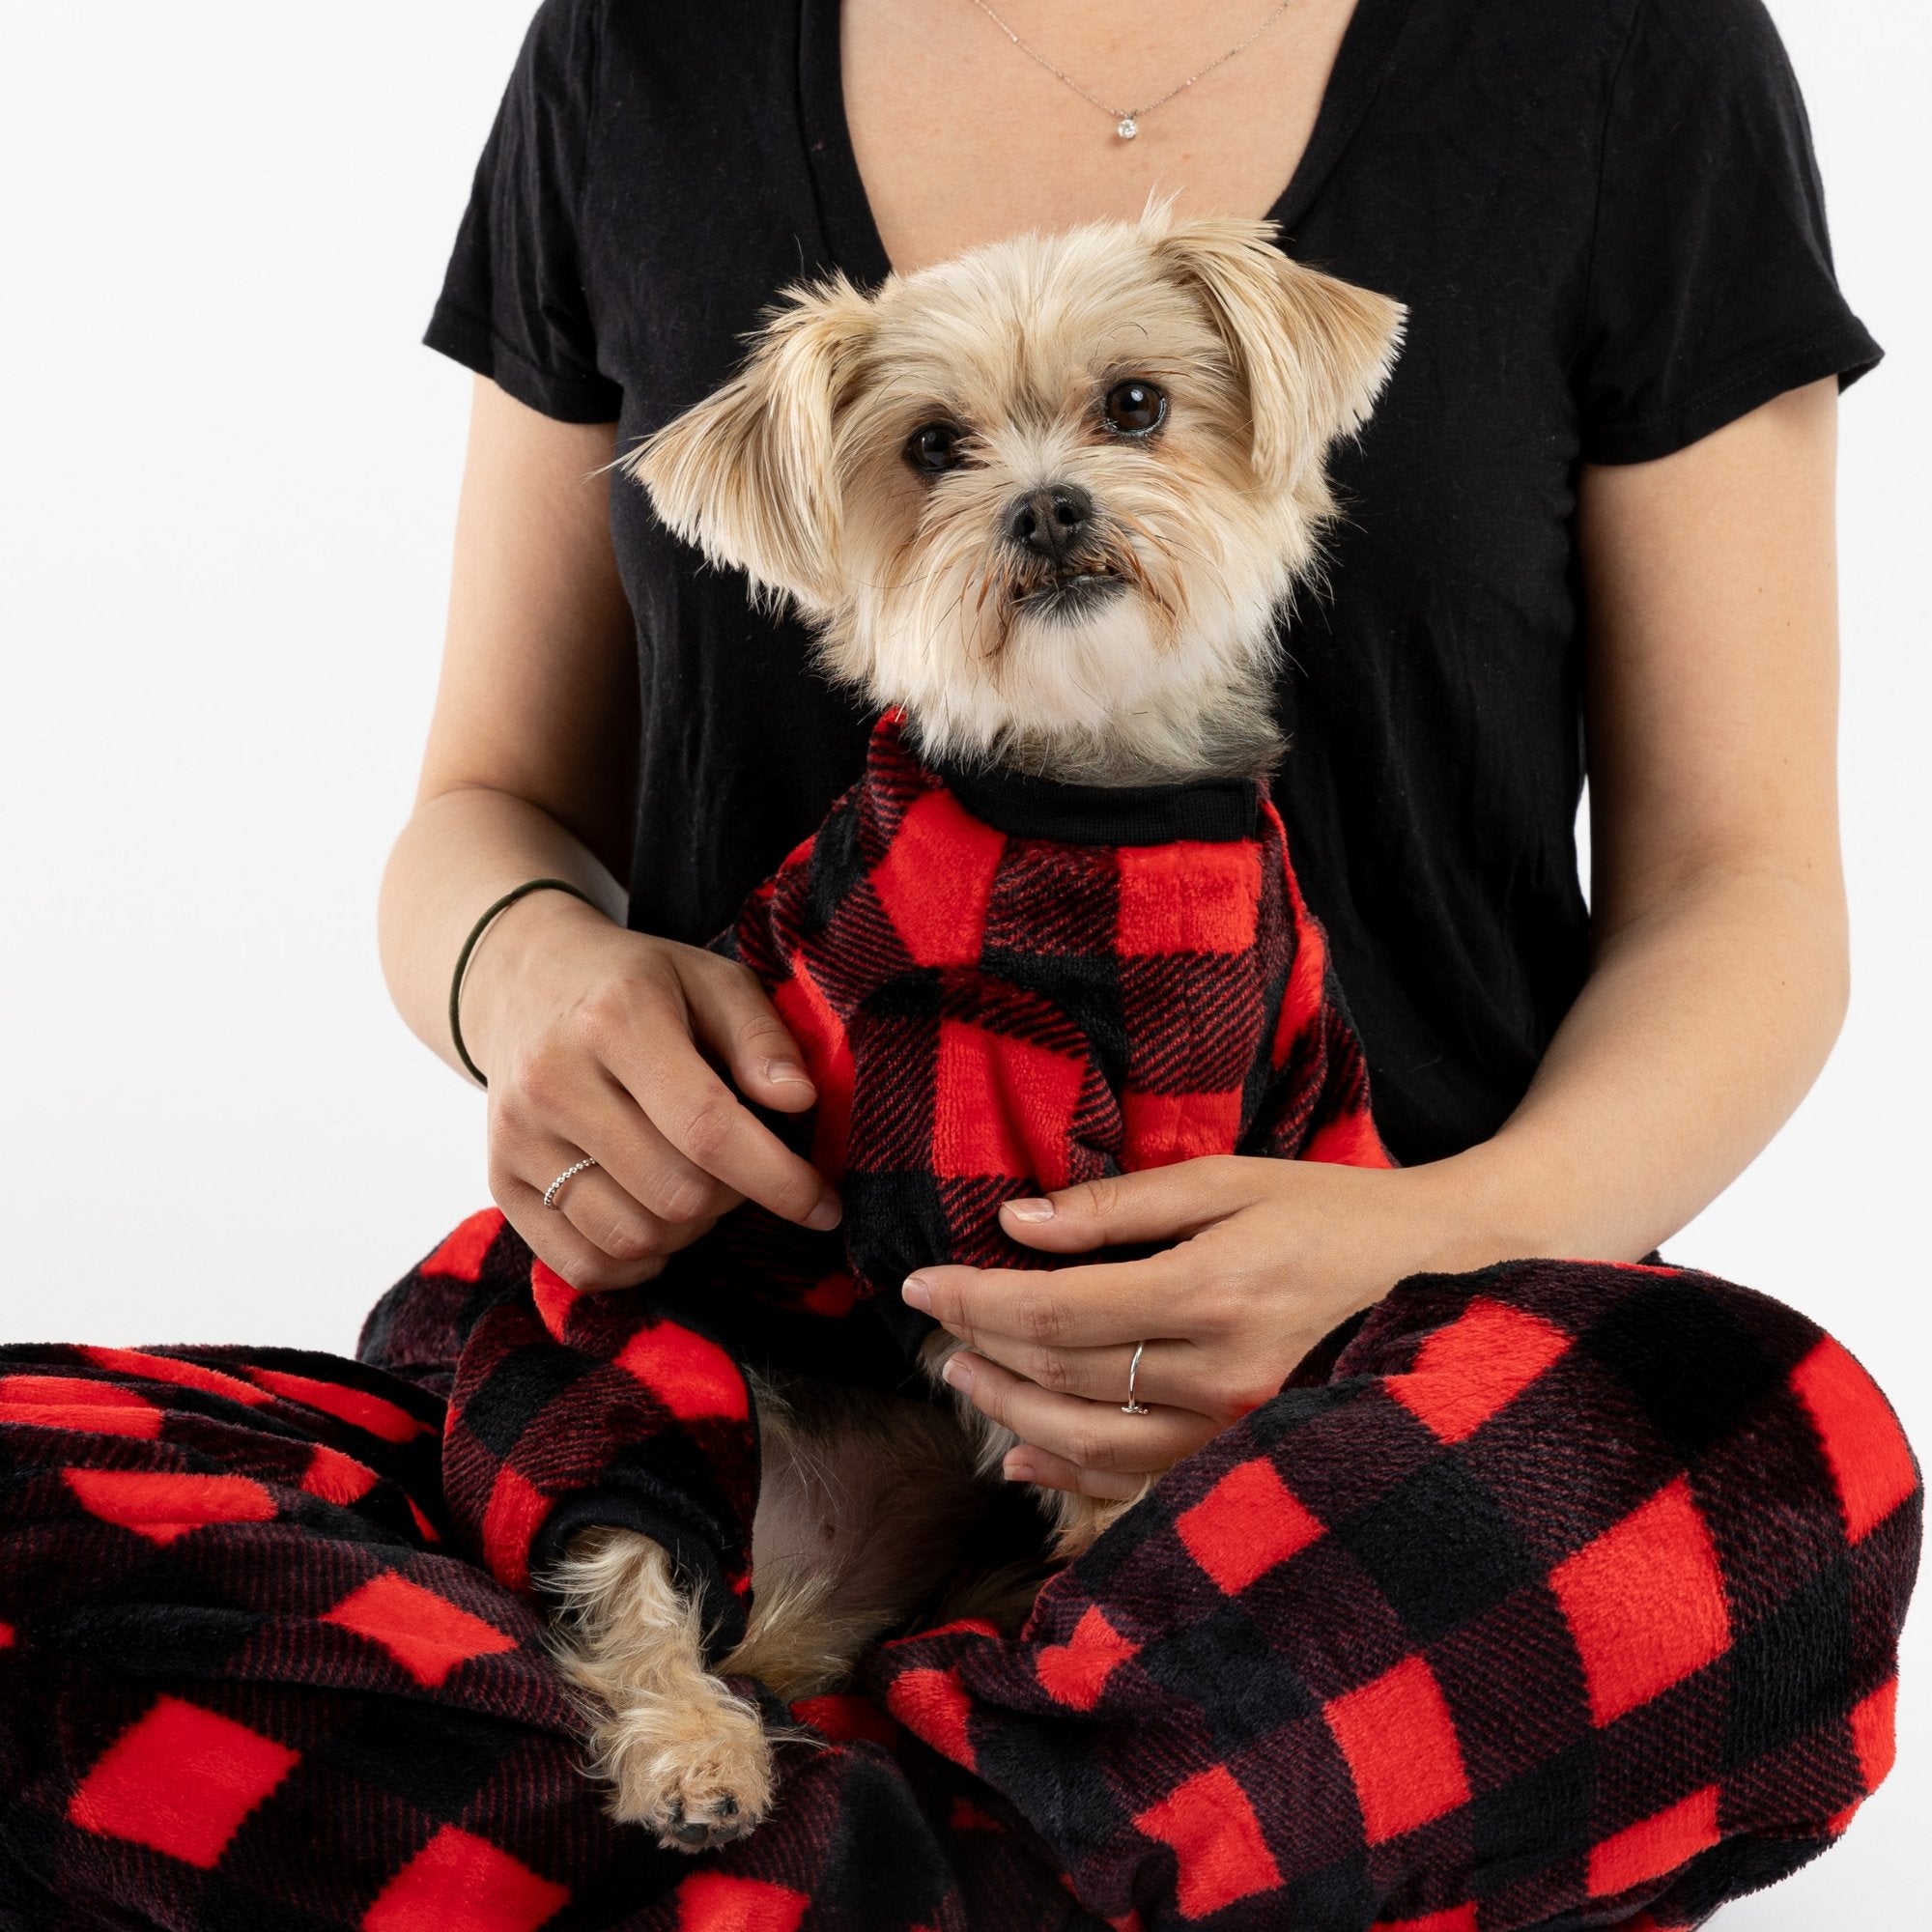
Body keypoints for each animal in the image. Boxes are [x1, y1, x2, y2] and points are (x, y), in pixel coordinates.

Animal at [545, 204, 1406, 1847]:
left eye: (1134, 404)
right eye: (933, 447)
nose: (1049, 509)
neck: (1105, 802)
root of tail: (806, 1579)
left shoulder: (1304, 1095)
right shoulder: (960, 1132)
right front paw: (1135, 1541)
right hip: (644, 1385)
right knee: (629, 1576)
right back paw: (697, 1753)